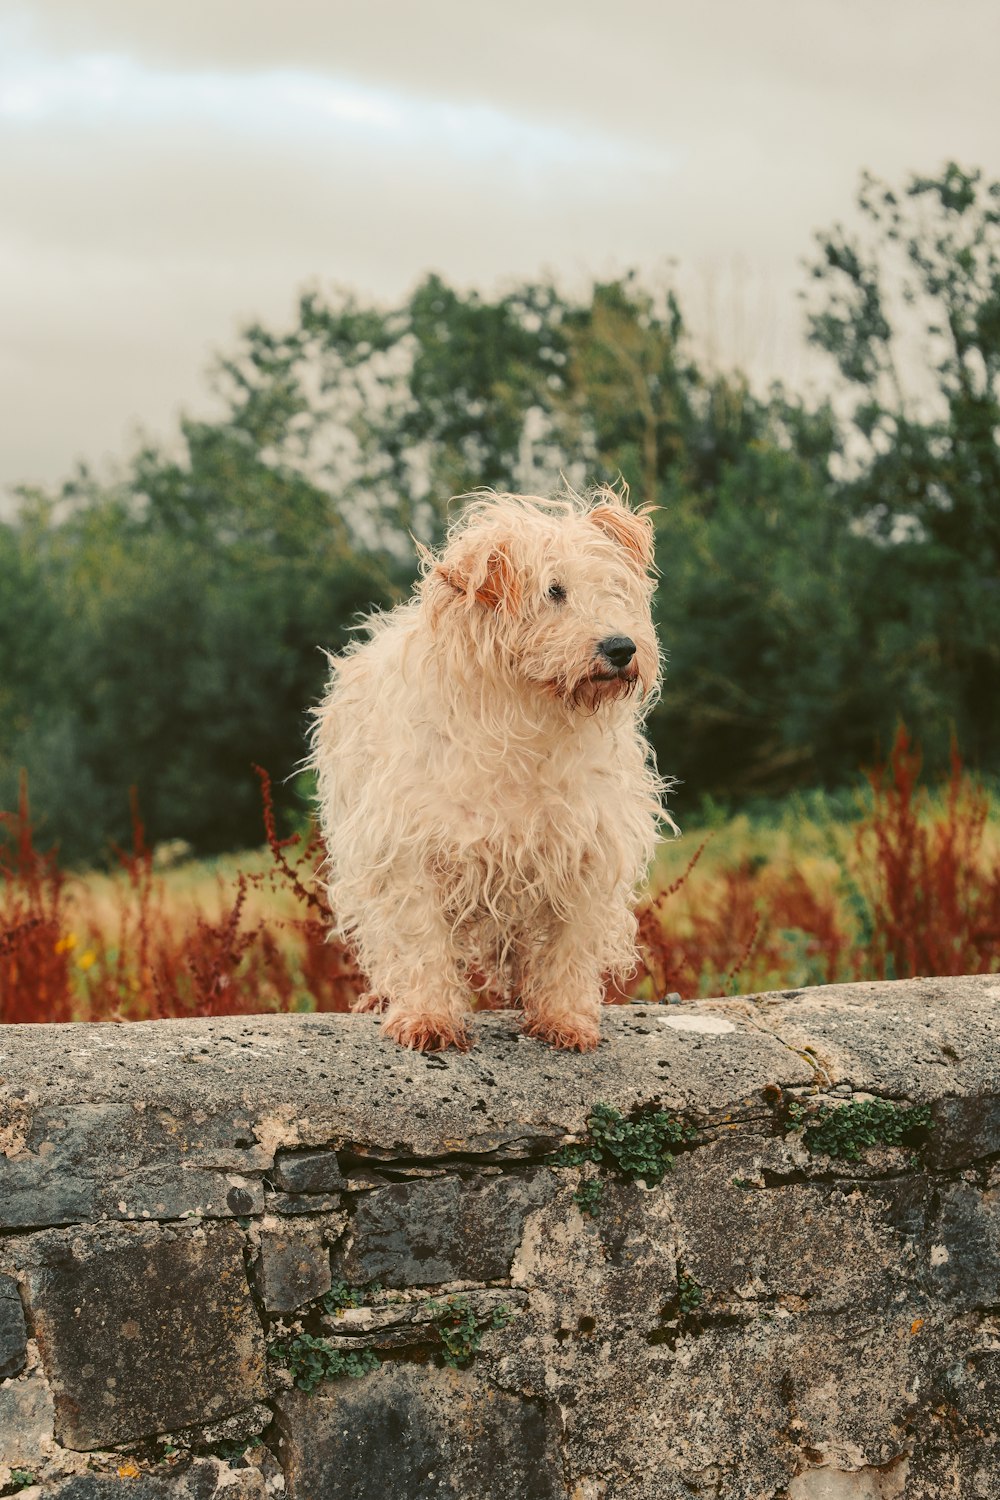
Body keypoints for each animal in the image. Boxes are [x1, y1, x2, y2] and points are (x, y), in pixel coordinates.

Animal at [313, 486, 668, 1050]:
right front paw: (428, 1017)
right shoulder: (408, 852)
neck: (527, 723)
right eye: (553, 591)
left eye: (614, 588)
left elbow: (569, 948)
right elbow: (420, 942)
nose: (621, 647)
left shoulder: (584, 849)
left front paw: (564, 1019)